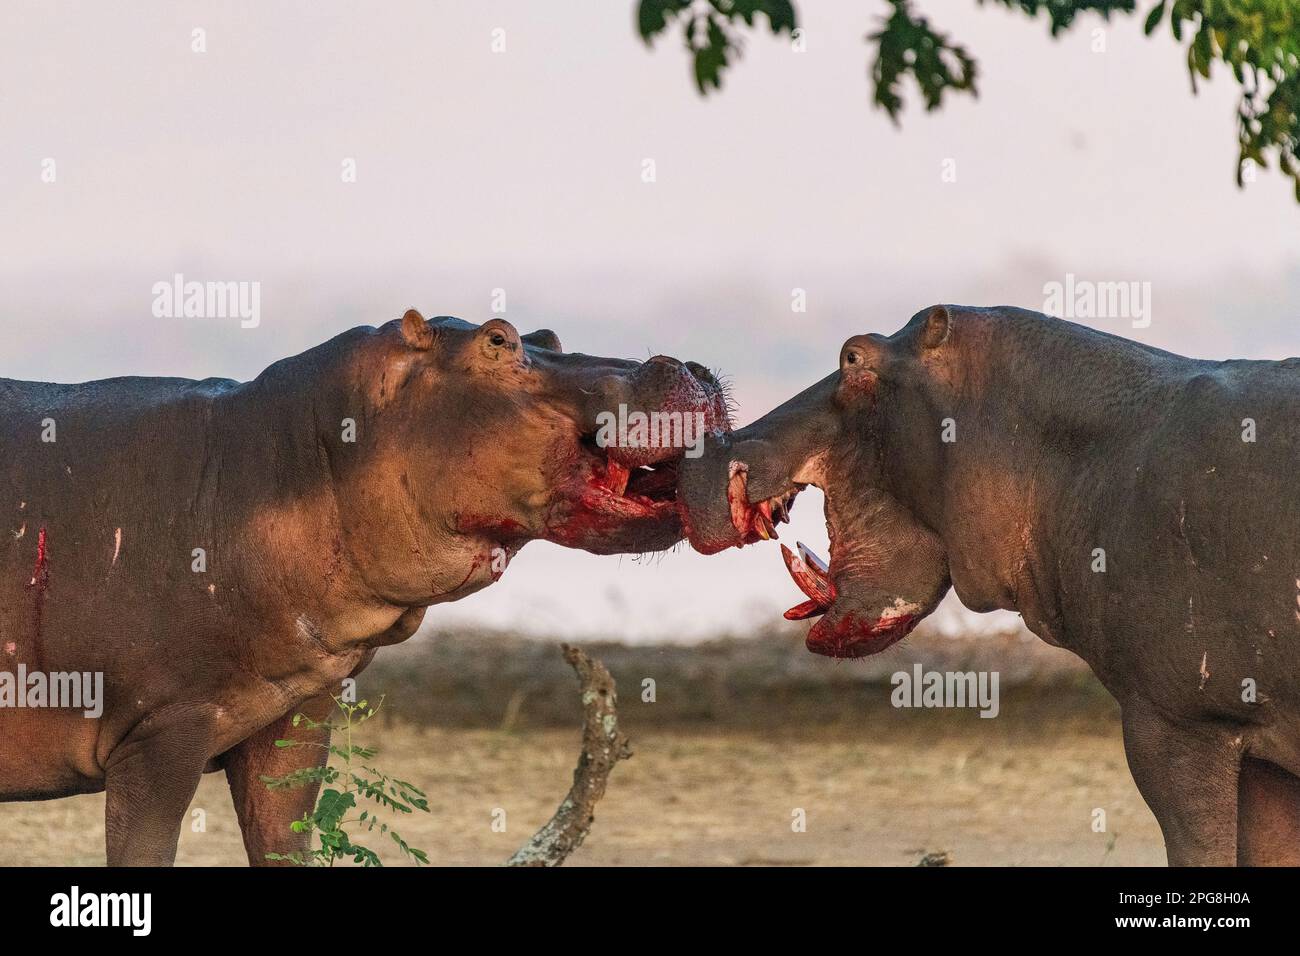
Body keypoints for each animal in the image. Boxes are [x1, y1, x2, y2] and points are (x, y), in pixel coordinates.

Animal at [0, 309, 728, 865]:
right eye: (497, 339)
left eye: (547, 333)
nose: (693, 366)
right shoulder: (162, 729)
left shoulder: (293, 718)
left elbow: (285, 841)